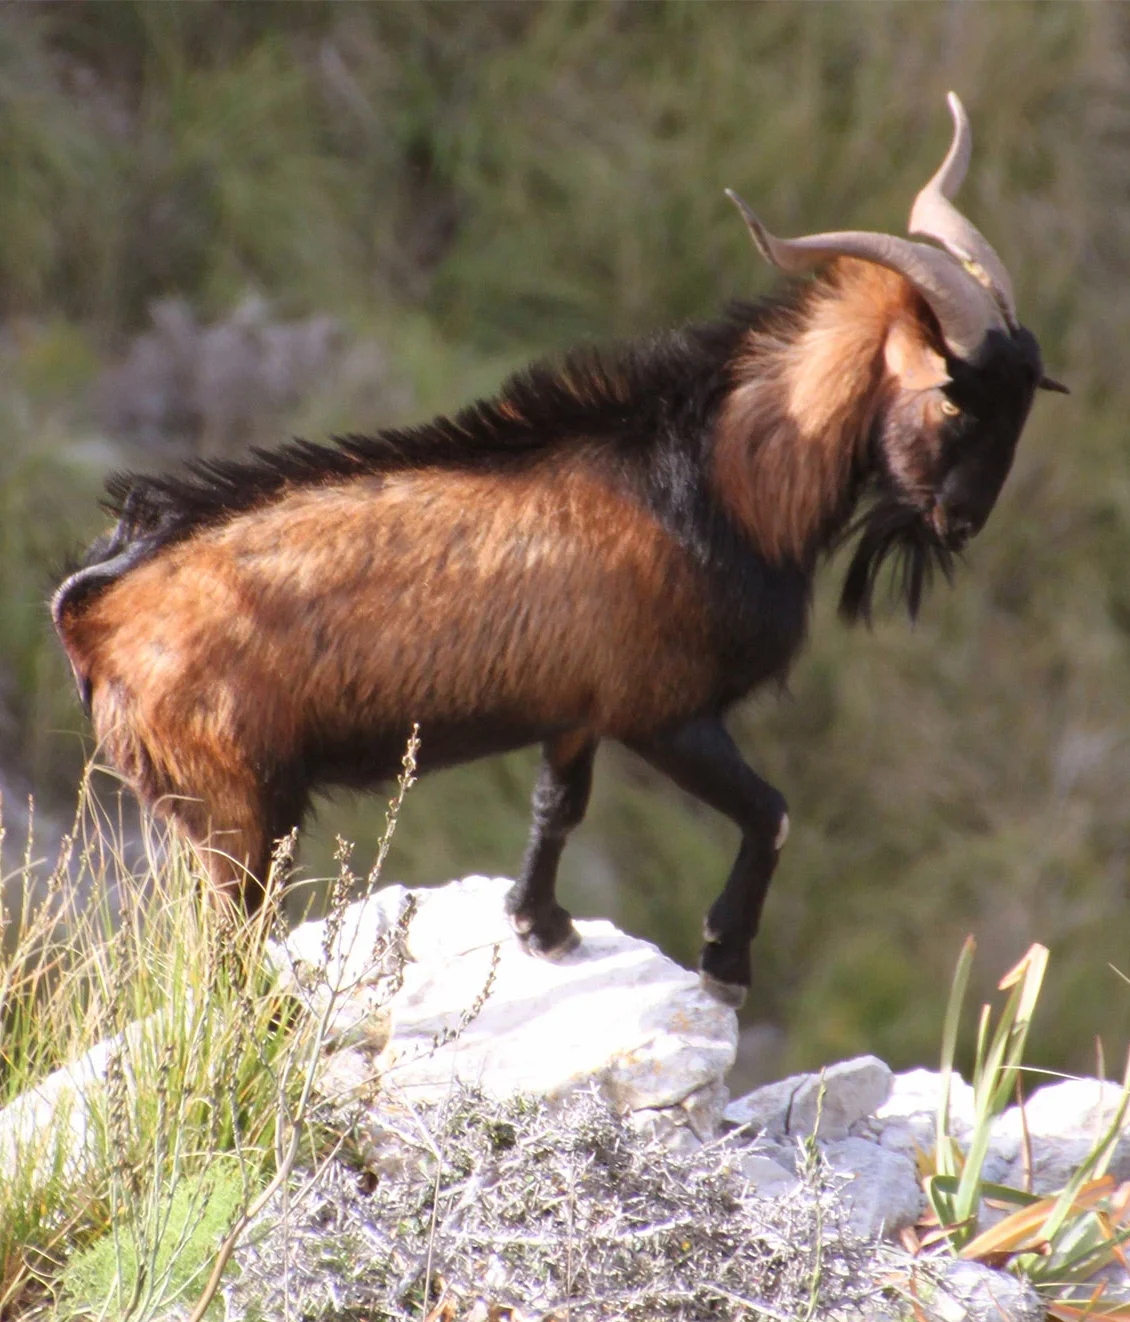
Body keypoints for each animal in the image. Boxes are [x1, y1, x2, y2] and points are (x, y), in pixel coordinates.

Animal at [53, 94, 1064, 1004]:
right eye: (955, 397)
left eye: (1027, 397)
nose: (963, 520)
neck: (721, 484)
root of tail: (97, 611)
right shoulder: (664, 710)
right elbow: (772, 814)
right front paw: (725, 962)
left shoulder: (577, 708)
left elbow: (558, 808)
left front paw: (542, 927)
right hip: (238, 804)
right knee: (225, 943)